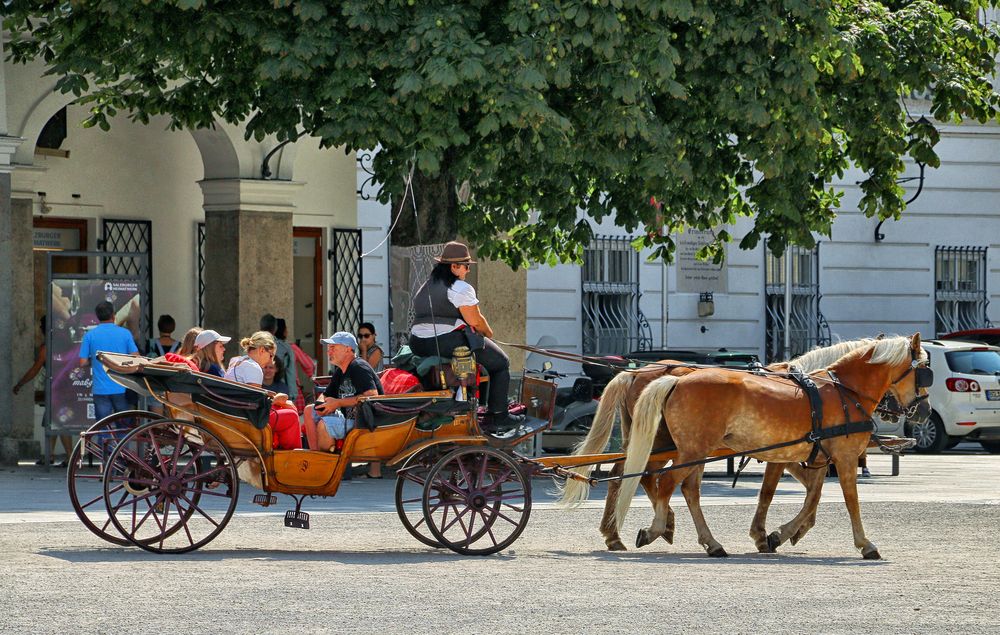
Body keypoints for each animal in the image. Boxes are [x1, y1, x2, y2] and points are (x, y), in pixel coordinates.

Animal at [612, 336, 932, 560]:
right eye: (925, 371)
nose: (925, 411)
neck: (843, 392)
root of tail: (678, 379)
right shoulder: (844, 457)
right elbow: (849, 500)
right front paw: (865, 544)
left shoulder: (811, 457)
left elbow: (808, 495)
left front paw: (779, 534)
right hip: (692, 451)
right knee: (665, 482)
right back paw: (657, 528)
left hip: (692, 451)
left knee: (684, 489)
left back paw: (709, 542)